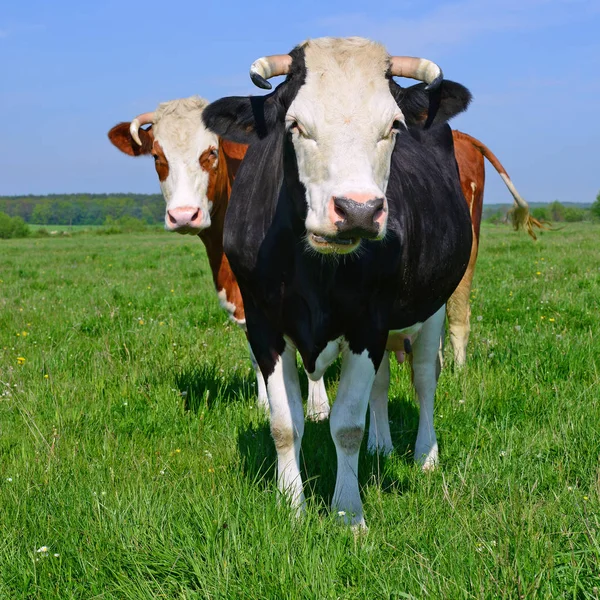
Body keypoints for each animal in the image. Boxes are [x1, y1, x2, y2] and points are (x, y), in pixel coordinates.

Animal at [109, 97, 332, 418]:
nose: (183, 215)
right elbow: (257, 353)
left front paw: (318, 408)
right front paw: (266, 404)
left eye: (211, 152)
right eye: (156, 156)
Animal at [205, 37, 474, 524]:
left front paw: (349, 514)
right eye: (295, 125)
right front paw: (290, 506)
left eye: (394, 126)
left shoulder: (369, 322)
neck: (315, 271)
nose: (359, 210)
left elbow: (347, 425)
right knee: (383, 384)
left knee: (425, 379)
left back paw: (425, 456)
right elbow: (284, 424)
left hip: (434, 308)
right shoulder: (263, 323)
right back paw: (382, 446)